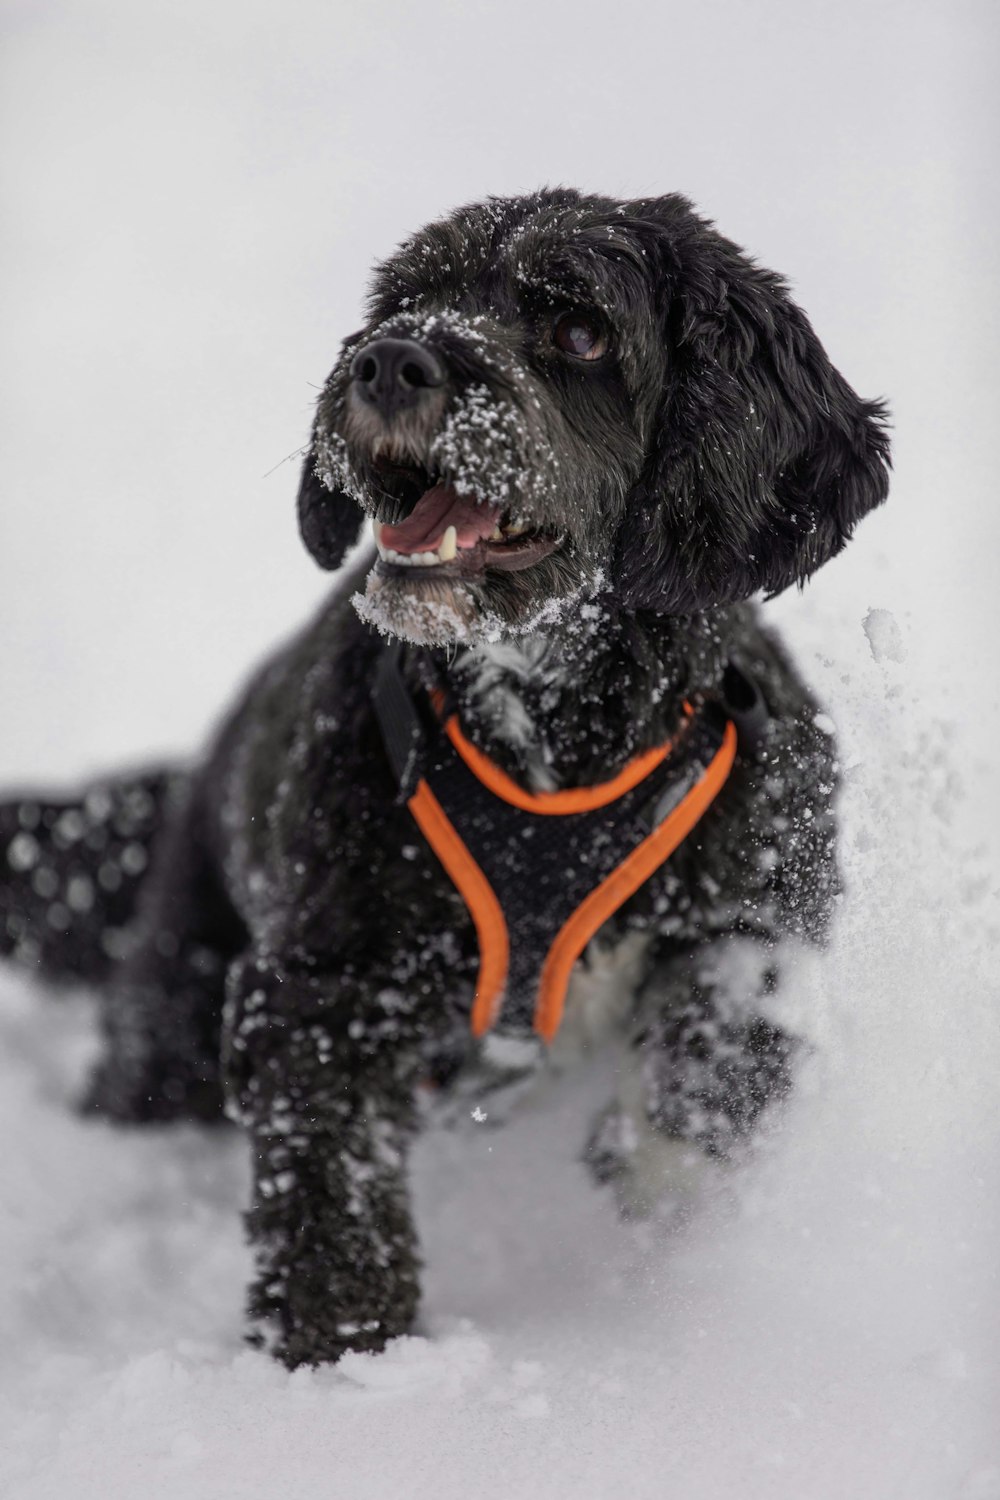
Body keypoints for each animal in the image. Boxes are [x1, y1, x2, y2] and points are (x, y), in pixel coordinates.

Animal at [0, 190, 893, 1374]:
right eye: (405, 298)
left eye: (579, 329)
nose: (388, 360)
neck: (556, 737)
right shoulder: (324, 981)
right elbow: (328, 1185)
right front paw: (337, 1362)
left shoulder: (764, 904)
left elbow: (717, 1052)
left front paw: (655, 1196)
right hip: (176, 999)